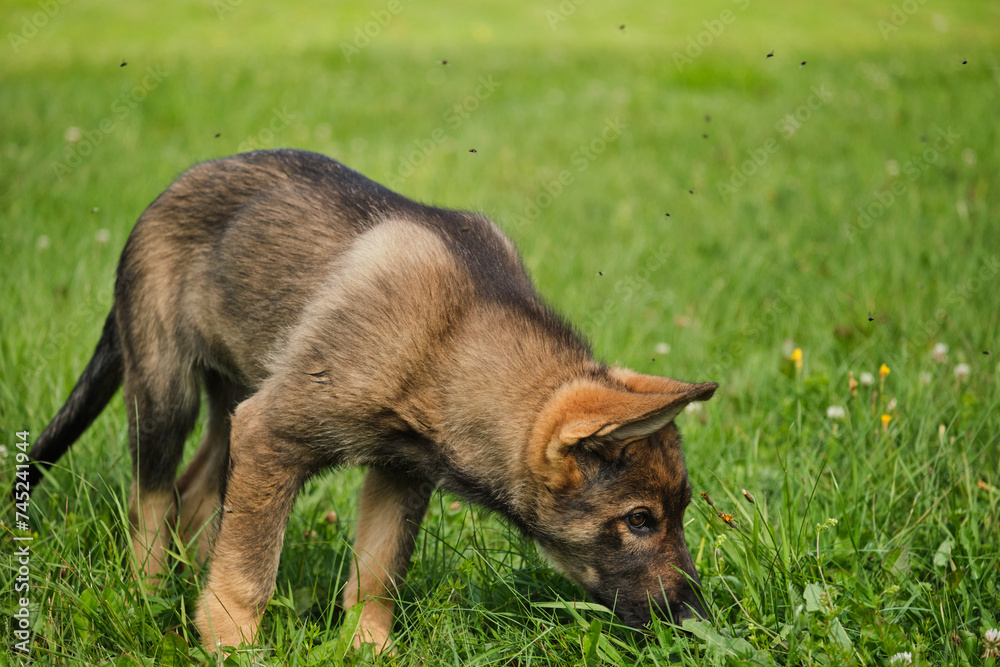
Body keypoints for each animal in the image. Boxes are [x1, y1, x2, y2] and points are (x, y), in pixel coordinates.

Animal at [27, 150, 716, 652]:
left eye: (676, 513)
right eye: (639, 520)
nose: (696, 621)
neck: (451, 336)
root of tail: (163, 196)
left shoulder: (399, 469)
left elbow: (378, 571)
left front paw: (369, 648)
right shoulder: (273, 432)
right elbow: (250, 571)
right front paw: (230, 644)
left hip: (239, 396)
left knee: (195, 490)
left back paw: (187, 580)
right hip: (167, 389)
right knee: (152, 496)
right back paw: (148, 594)